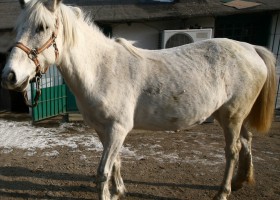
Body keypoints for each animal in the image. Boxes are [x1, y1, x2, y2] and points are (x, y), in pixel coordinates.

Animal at [0, 0, 276, 199]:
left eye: (43, 27)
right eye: (16, 28)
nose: (9, 76)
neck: (102, 69)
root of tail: (251, 48)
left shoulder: (118, 129)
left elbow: (103, 171)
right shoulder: (104, 130)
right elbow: (115, 163)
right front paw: (119, 191)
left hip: (231, 116)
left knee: (232, 151)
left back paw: (223, 192)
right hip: (234, 116)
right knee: (247, 142)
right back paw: (240, 181)